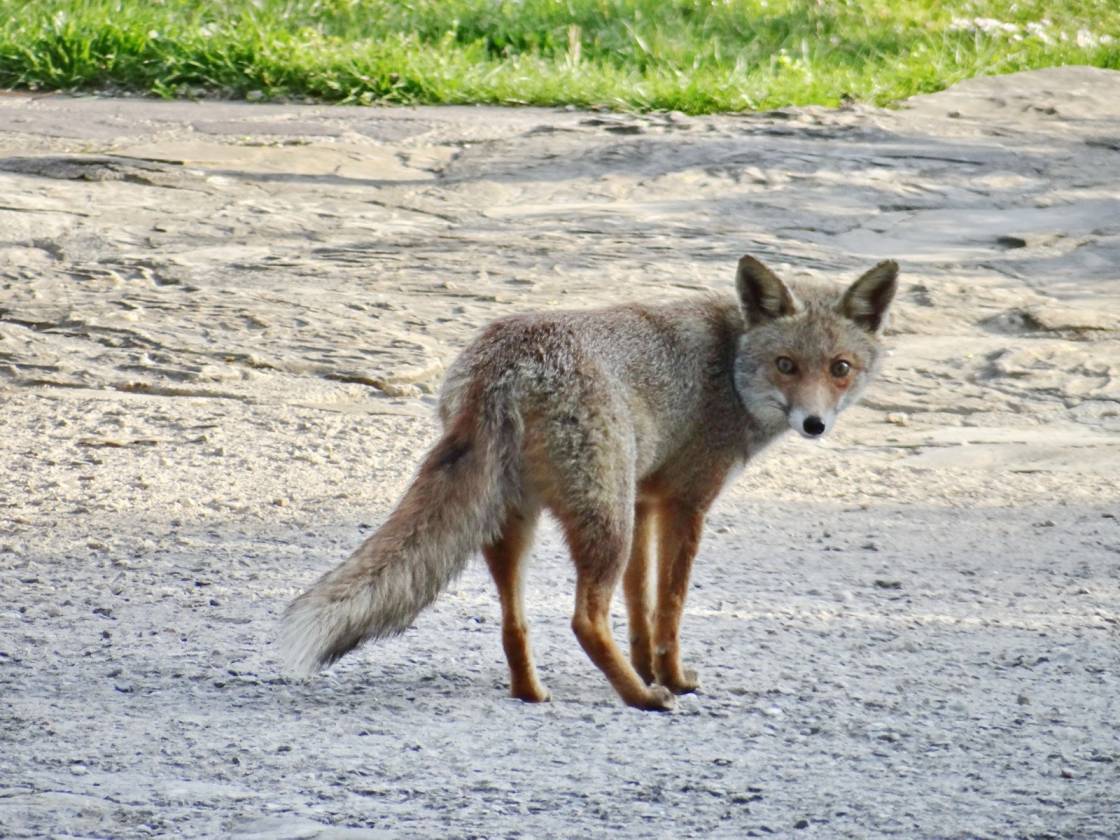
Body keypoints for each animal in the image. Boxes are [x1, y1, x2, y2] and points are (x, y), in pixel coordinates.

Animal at [282, 255, 900, 712]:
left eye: (840, 368)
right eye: (786, 365)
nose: (815, 424)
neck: (728, 364)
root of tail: (508, 358)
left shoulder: (645, 502)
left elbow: (640, 608)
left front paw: (649, 666)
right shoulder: (686, 502)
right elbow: (669, 607)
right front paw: (671, 678)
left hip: (522, 519)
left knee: (515, 622)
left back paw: (533, 692)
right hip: (604, 518)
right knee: (584, 619)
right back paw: (641, 699)